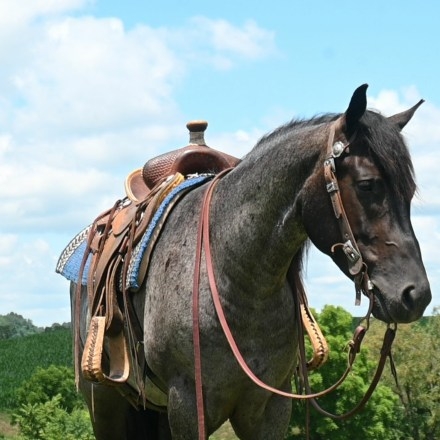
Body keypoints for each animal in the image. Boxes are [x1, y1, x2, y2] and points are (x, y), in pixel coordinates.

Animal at [70, 84, 432, 438]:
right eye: (367, 184)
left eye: (410, 191)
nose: (416, 295)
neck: (236, 277)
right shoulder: (187, 405)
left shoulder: (270, 407)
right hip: (108, 408)